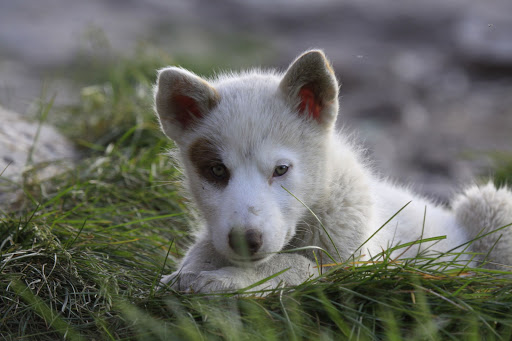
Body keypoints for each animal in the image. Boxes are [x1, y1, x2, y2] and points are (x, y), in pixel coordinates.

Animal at [154, 49, 512, 290]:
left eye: (281, 169)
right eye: (216, 171)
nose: (246, 240)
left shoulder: (354, 266)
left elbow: (290, 265)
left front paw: (228, 280)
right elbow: (202, 253)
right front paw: (189, 272)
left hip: (490, 205)